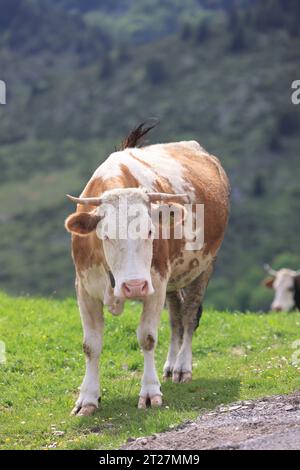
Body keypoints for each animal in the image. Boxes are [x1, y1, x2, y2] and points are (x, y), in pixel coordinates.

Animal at [65, 124, 230, 414]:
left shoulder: (156, 282)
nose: (133, 286)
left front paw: (150, 392)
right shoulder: (84, 288)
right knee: (176, 317)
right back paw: (171, 365)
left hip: (205, 265)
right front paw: (87, 398)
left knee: (189, 316)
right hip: (174, 279)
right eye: (105, 235)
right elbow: (91, 345)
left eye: (151, 231)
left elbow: (148, 337)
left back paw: (182, 367)